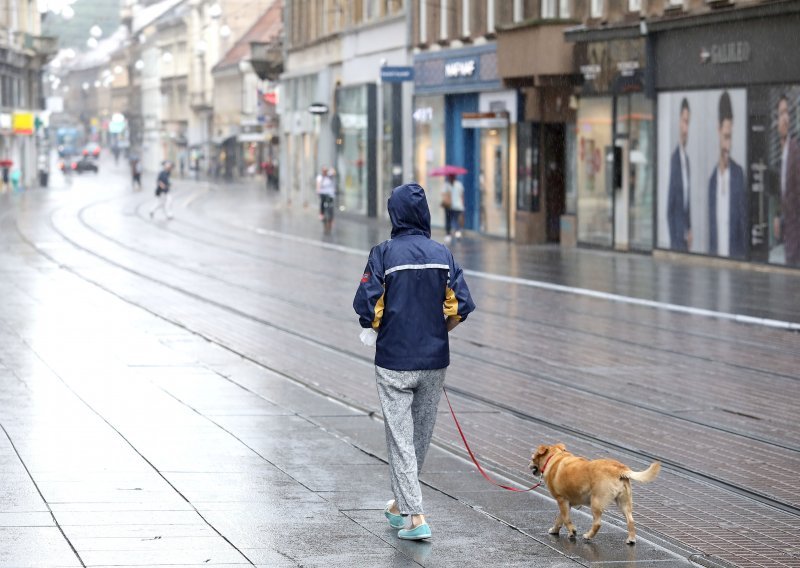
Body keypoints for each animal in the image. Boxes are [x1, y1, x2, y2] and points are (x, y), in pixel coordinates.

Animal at [532, 442, 664, 544]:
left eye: (532, 458)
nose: (529, 465)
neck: (555, 457)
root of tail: (620, 469)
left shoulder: (562, 500)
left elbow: (565, 519)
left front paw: (572, 531)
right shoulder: (566, 504)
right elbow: (560, 519)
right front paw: (555, 530)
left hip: (595, 502)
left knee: (597, 523)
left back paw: (588, 536)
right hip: (624, 503)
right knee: (630, 520)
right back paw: (631, 539)